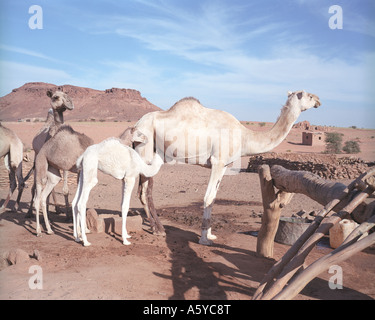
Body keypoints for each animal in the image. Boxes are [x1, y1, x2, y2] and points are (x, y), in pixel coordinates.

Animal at [134, 90, 322, 245]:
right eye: (307, 95)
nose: (319, 100)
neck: (245, 137)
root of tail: (137, 124)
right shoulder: (217, 161)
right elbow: (208, 197)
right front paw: (204, 239)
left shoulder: (224, 165)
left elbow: (214, 198)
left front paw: (210, 234)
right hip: (145, 148)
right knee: (144, 192)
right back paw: (158, 229)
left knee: (144, 190)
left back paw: (156, 227)